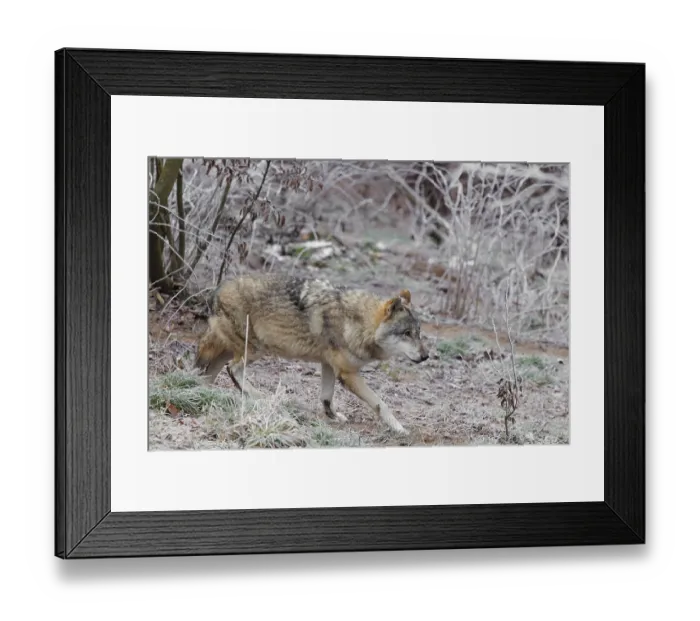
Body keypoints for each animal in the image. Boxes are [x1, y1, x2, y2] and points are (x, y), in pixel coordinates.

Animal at [193, 273, 429, 435]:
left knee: (210, 371)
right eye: (406, 334)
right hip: (255, 349)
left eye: (418, 333)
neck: (356, 322)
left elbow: (326, 397)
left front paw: (333, 416)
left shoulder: (328, 365)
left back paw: (204, 392)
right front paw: (400, 429)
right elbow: (381, 403)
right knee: (232, 370)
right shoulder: (348, 374)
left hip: (230, 350)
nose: (426, 356)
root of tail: (216, 291)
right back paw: (260, 396)